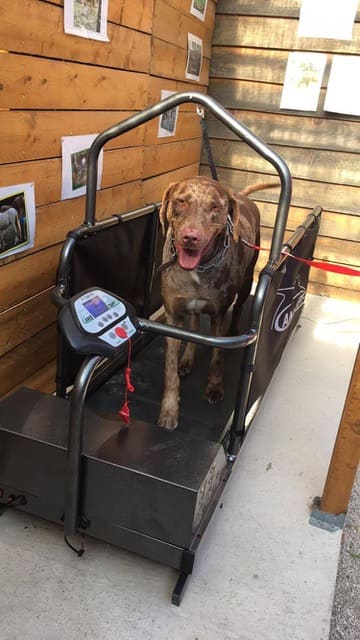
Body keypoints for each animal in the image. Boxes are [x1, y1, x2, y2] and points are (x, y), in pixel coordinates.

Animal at [158, 176, 276, 430]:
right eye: (180, 201)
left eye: (214, 207)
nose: (190, 237)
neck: (199, 268)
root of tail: (241, 196)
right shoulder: (172, 316)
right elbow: (170, 369)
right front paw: (169, 410)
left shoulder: (218, 315)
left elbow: (217, 356)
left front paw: (214, 386)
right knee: (193, 327)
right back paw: (187, 360)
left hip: (246, 282)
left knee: (239, 306)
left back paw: (235, 327)